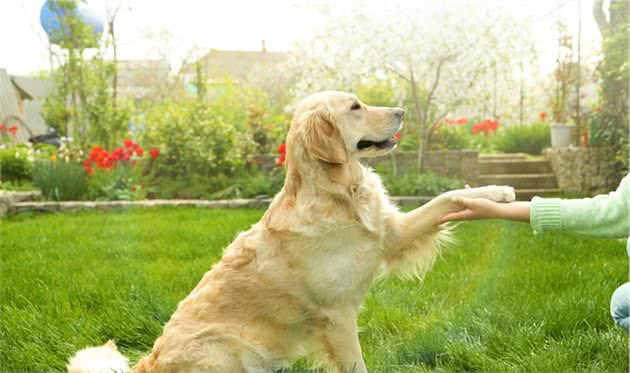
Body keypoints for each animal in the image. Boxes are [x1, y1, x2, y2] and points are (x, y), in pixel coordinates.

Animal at [69, 91, 516, 372]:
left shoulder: (392, 234)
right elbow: (357, 365)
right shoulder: (337, 316)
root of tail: (149, 361)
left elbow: (449, 196)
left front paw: (497, 191)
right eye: (356, 106)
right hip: (227, 351)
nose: (402, 110)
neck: (340, 193)